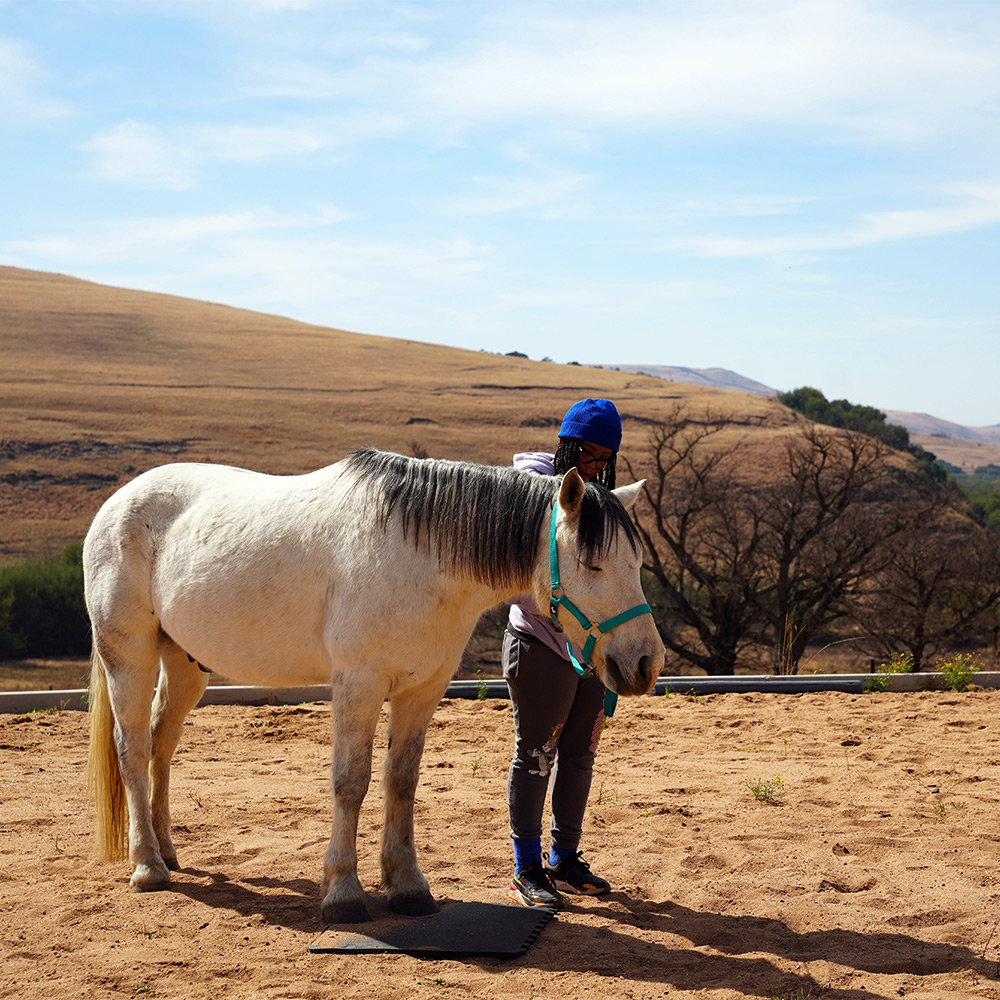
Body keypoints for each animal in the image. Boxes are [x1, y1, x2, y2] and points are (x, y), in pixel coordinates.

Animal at [84, 448, 664, 923]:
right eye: (591, 563)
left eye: (636, 562)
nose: (644, 663)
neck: (419, 556)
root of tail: (119, 504)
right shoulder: (358, 686)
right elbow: (351, 782)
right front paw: (343, 894)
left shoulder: (421, 690)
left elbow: (401, 781)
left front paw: (408, 888)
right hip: (129, 658)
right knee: (132, 749)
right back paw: (148, 867)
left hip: (185, 663)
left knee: (161, 744)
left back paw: (167, 849)